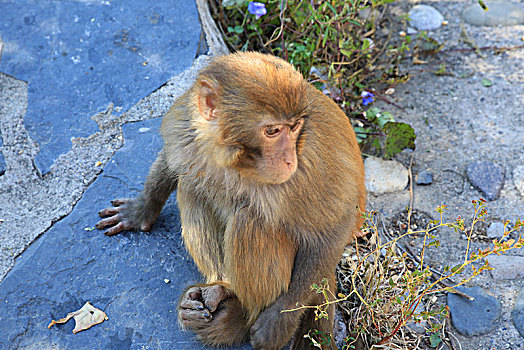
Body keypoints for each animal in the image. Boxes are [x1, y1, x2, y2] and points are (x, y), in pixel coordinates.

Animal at [97, 50, 364, 348]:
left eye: (294, 127)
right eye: (272, 131)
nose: (288, 159)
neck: (234, 157)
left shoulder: (309, 166)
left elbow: (335, 226)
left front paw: (280, 320)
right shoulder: (187, 124)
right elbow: (172, 158)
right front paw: (141, 210)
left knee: (250, 218)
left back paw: (240, 317)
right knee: (192, 186)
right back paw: (220, 288)